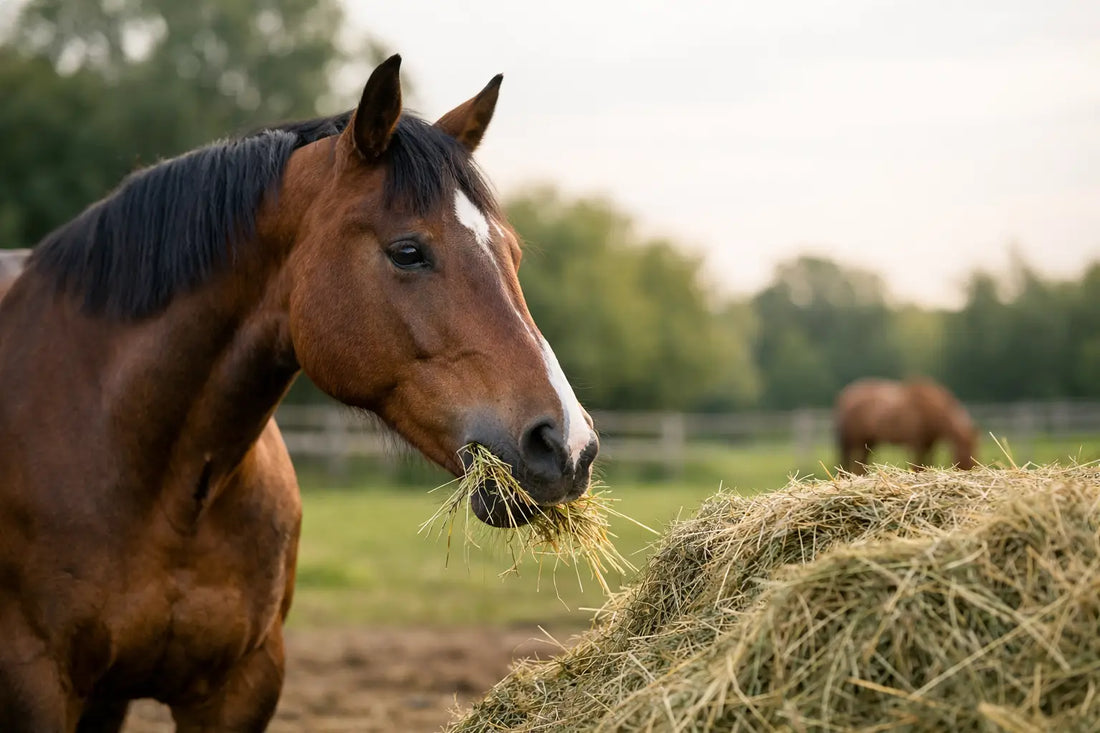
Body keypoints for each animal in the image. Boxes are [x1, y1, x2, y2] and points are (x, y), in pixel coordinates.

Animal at [834, 377, 978, 475]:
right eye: (965, 447)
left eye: (974, 446)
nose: (969, 468)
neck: (928, 410)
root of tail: (846, 396)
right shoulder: (916, 444)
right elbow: (917, 465)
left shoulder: (929, 445)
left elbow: (927, 464)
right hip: (850, 442)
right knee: (845, 463)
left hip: (868, 442)